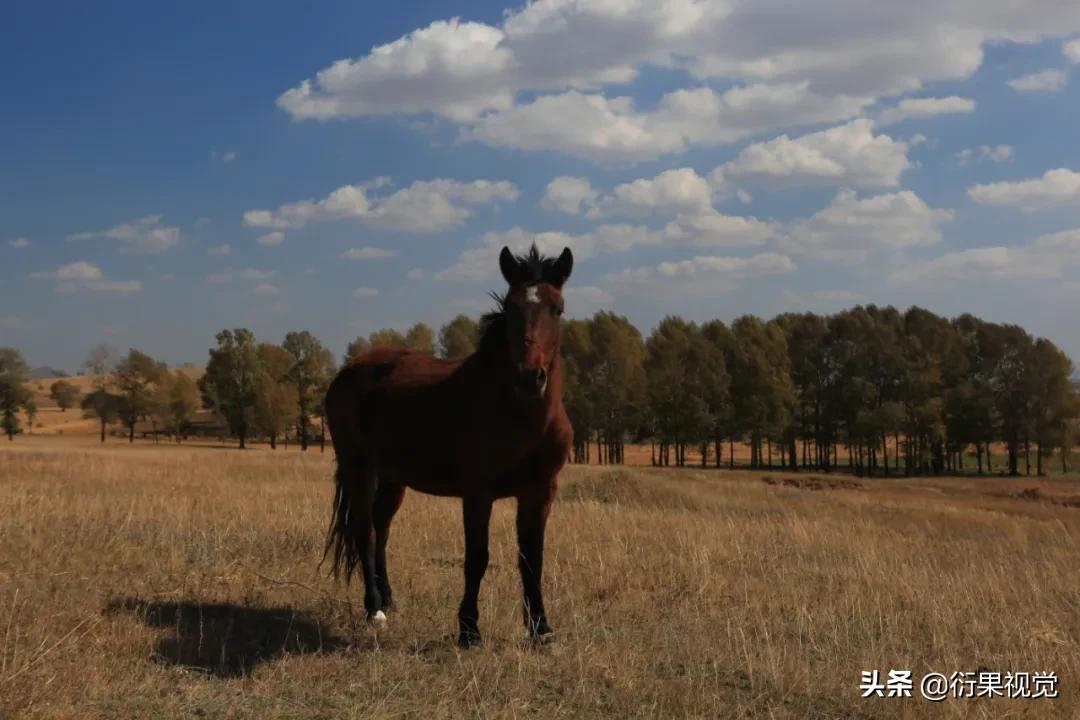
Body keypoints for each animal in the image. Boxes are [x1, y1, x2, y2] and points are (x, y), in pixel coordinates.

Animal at [319, 243, 574, 647]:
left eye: (557, 309)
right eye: (511, 309)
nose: (529, 378)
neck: (520, 416)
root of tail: (347, 371)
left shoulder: (540, 492)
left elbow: (532, 559)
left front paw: (541, 630)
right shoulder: (478, 493)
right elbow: (477, 557)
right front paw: (469, 630)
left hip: (392, 478)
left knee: (381, 530)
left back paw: (388, 599)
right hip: (358, 467)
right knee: (365, 531)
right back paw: (374, 609)